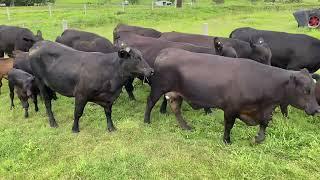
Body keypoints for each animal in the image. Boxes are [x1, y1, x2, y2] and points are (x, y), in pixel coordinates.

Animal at [145, 48, 320, 144]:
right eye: (306, 90)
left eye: (313, 88)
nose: (317, 109)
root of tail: (167, 51)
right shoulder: (231, 108)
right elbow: (229, 125)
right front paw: (226, 141)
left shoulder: (263, 111)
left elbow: (264, 125)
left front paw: (257, 139)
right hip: (158, 88)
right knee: (150, 102)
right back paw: (147, 121)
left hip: (176, 94)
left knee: (176, 109)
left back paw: (186, 127)